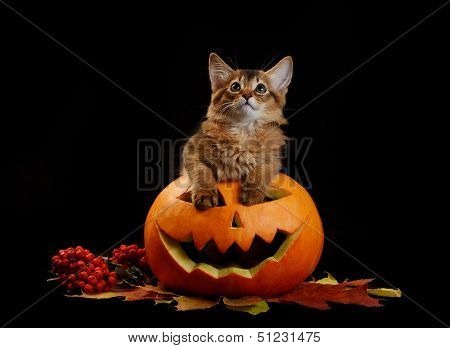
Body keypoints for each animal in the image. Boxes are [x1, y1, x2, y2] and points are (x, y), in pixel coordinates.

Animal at [181, 51, 294, 209]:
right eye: (235, 87)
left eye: (261, 88)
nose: (246, 95)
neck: (243, 130)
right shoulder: (191, 150)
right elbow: (202, 172)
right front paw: (205, 194)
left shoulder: (272, 158)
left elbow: (260, 172)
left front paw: (252, 193)